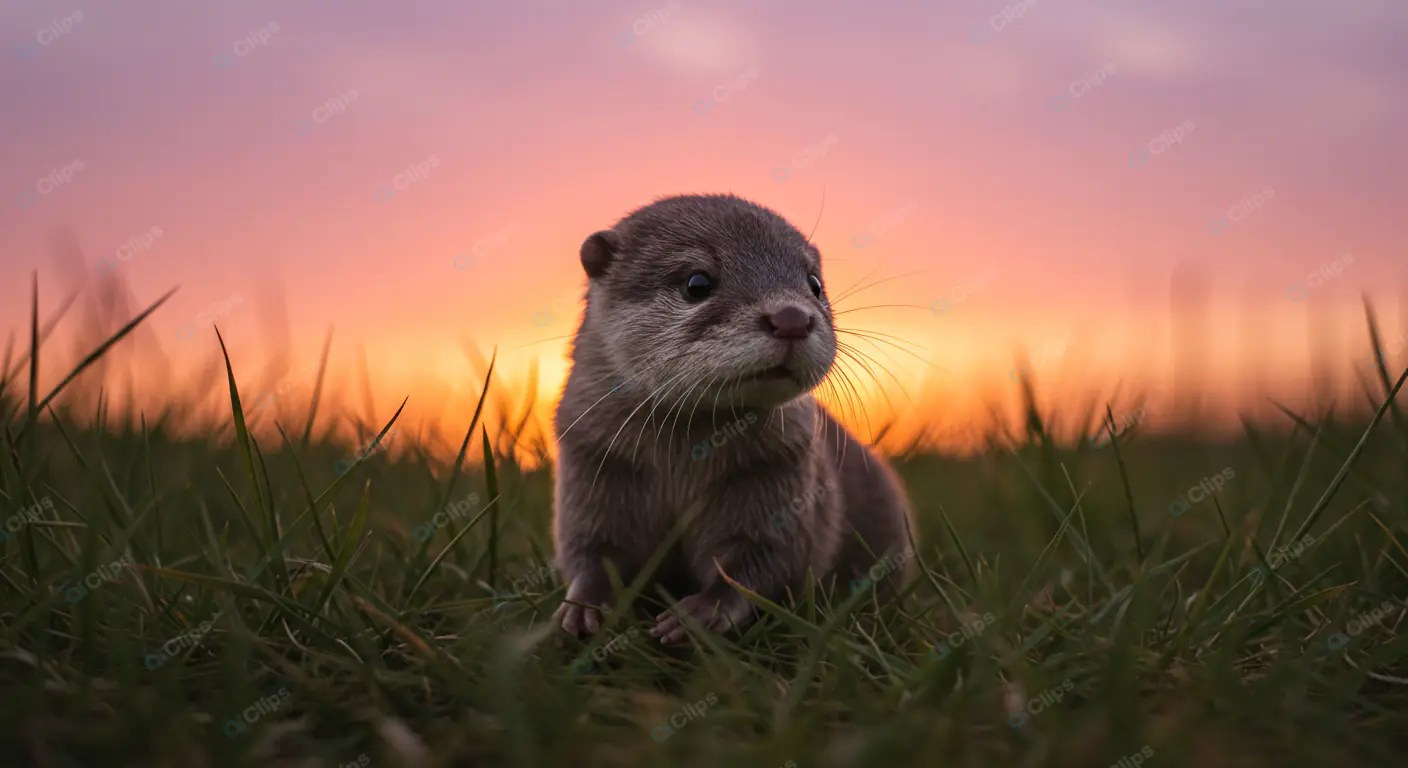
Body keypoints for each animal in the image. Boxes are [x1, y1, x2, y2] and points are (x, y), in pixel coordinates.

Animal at [551, 194, 915, 644]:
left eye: (814, 284)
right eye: (697, 283)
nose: (792, 318)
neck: (681, 464)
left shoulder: (778, 478)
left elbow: (763, 563)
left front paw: (700, 614)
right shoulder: (591, 464)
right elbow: (590, 552)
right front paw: (582, 608)